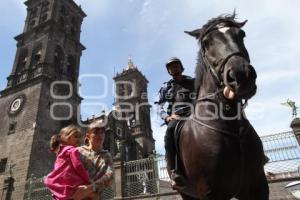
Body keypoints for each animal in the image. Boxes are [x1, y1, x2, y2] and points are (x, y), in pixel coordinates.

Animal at [173, 13, 270, 199]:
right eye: (205, 43)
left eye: (241, 34)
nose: (241, 75)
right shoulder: (209, 191)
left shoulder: (258, 186)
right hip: (185, 192)